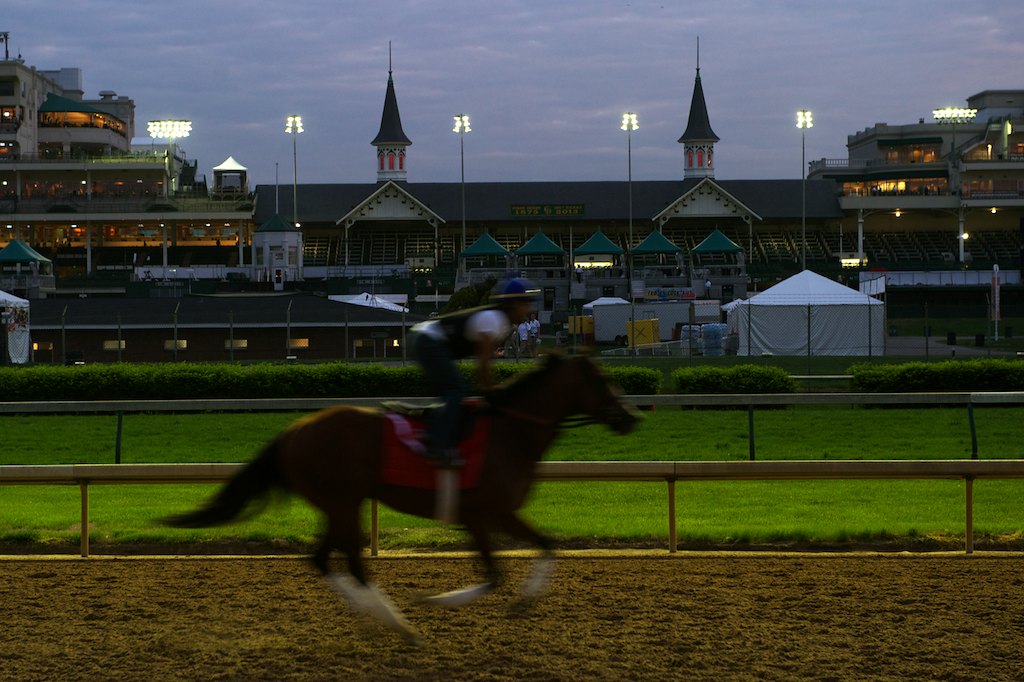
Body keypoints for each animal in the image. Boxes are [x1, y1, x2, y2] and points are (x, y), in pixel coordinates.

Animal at [162, 352, 634, 638]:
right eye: (604, 381)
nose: (630, 417)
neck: (511, 432)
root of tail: (294, 429)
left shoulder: (488, 516)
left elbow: (534, 552)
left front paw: (520, 600)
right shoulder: (489, 512)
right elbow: (501, 570)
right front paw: (434, 600)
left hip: (339, 504)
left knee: (322, 559)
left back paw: (376, 617)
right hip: (343, 501)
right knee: (352, 563)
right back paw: (398, 623)